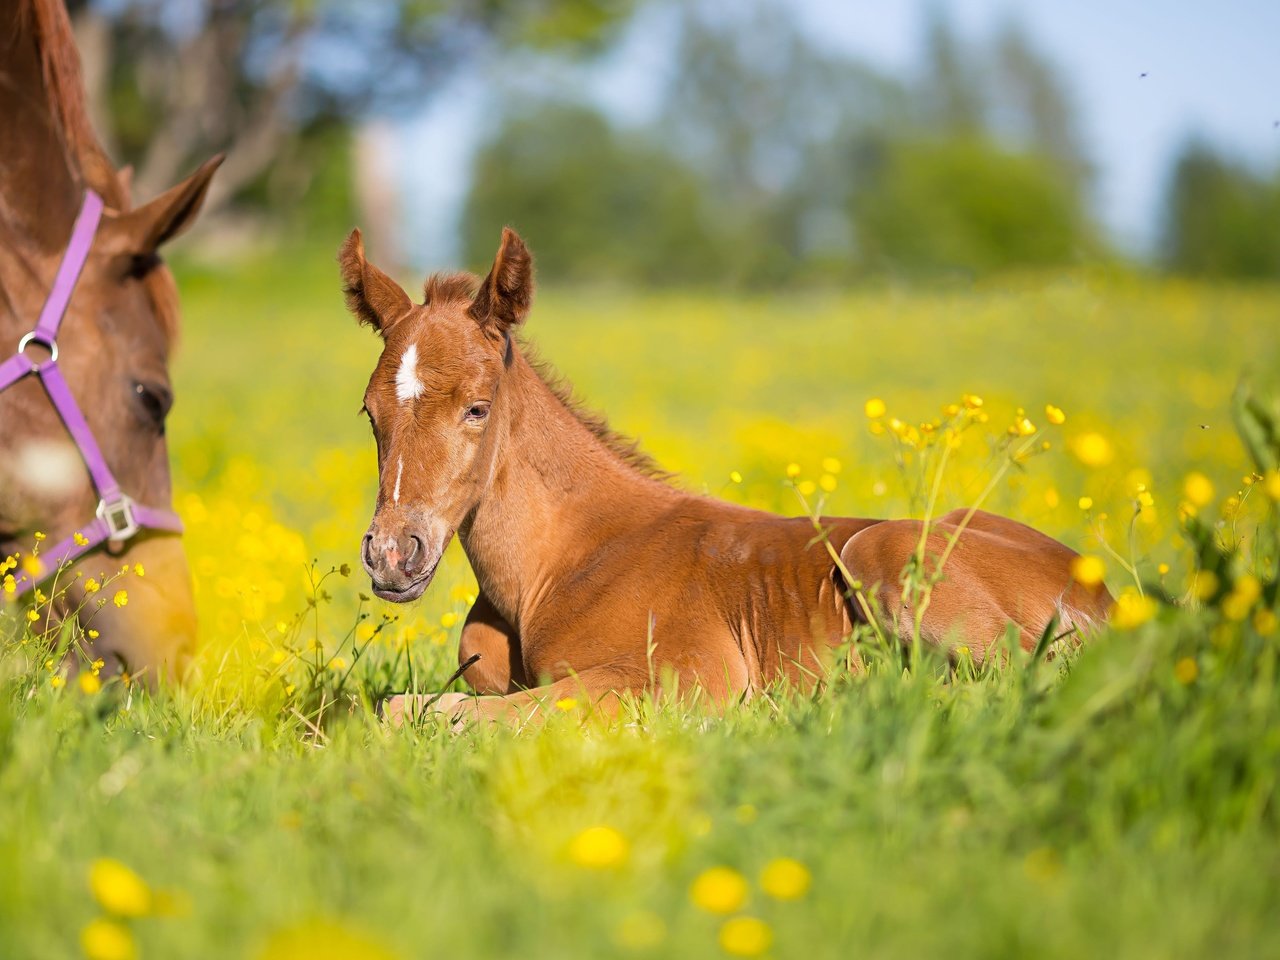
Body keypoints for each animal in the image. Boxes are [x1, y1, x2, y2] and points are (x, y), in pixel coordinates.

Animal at [340, 229, 1111, 727]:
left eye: (477, 407)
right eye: (370, 413)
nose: (393, 553)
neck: (556, 564)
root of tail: (1105, 592)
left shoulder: (686, 674)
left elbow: (435, 713)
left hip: (881, 552)